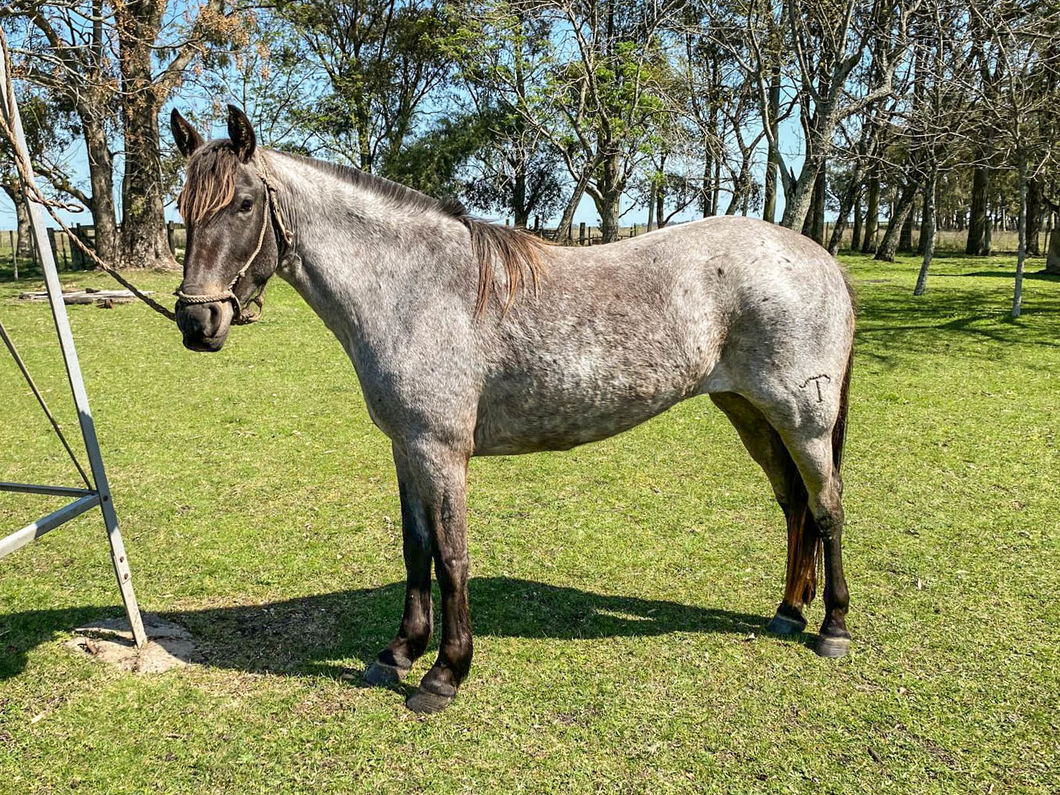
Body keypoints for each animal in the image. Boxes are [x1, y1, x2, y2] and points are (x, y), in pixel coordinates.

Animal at [169, 105, 856, 716]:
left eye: (244, 204)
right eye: (183, 207)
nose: (198, 322)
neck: (415, 288)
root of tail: (818, 257)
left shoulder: (442, 451)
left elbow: (451, 558)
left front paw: (445, 675)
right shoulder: (407, 447)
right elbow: (415, 549)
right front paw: (399, 653)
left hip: (804, 421)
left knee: (825, 507)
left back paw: (833, 628)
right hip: (749, 411)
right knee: (793, 504)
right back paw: (788, 613)